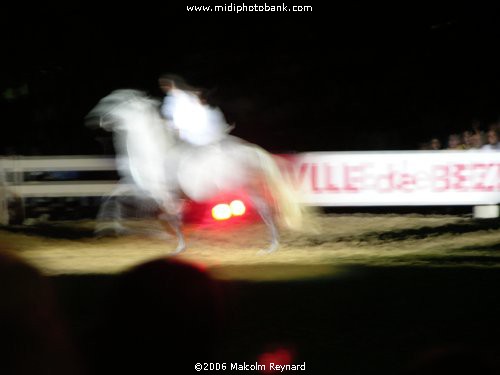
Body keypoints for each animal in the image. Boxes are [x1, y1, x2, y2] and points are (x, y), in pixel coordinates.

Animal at [86, 90, 304, 256]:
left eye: (113, 101)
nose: (94, 119)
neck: (152, 152)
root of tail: (253, 149)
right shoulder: (142, 190)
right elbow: (111, 197)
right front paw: (106, 228)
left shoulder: (160, 193)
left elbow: (170, 218)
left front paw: (177, 246)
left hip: (248, 187)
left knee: (266, 210)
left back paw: (271, 247)